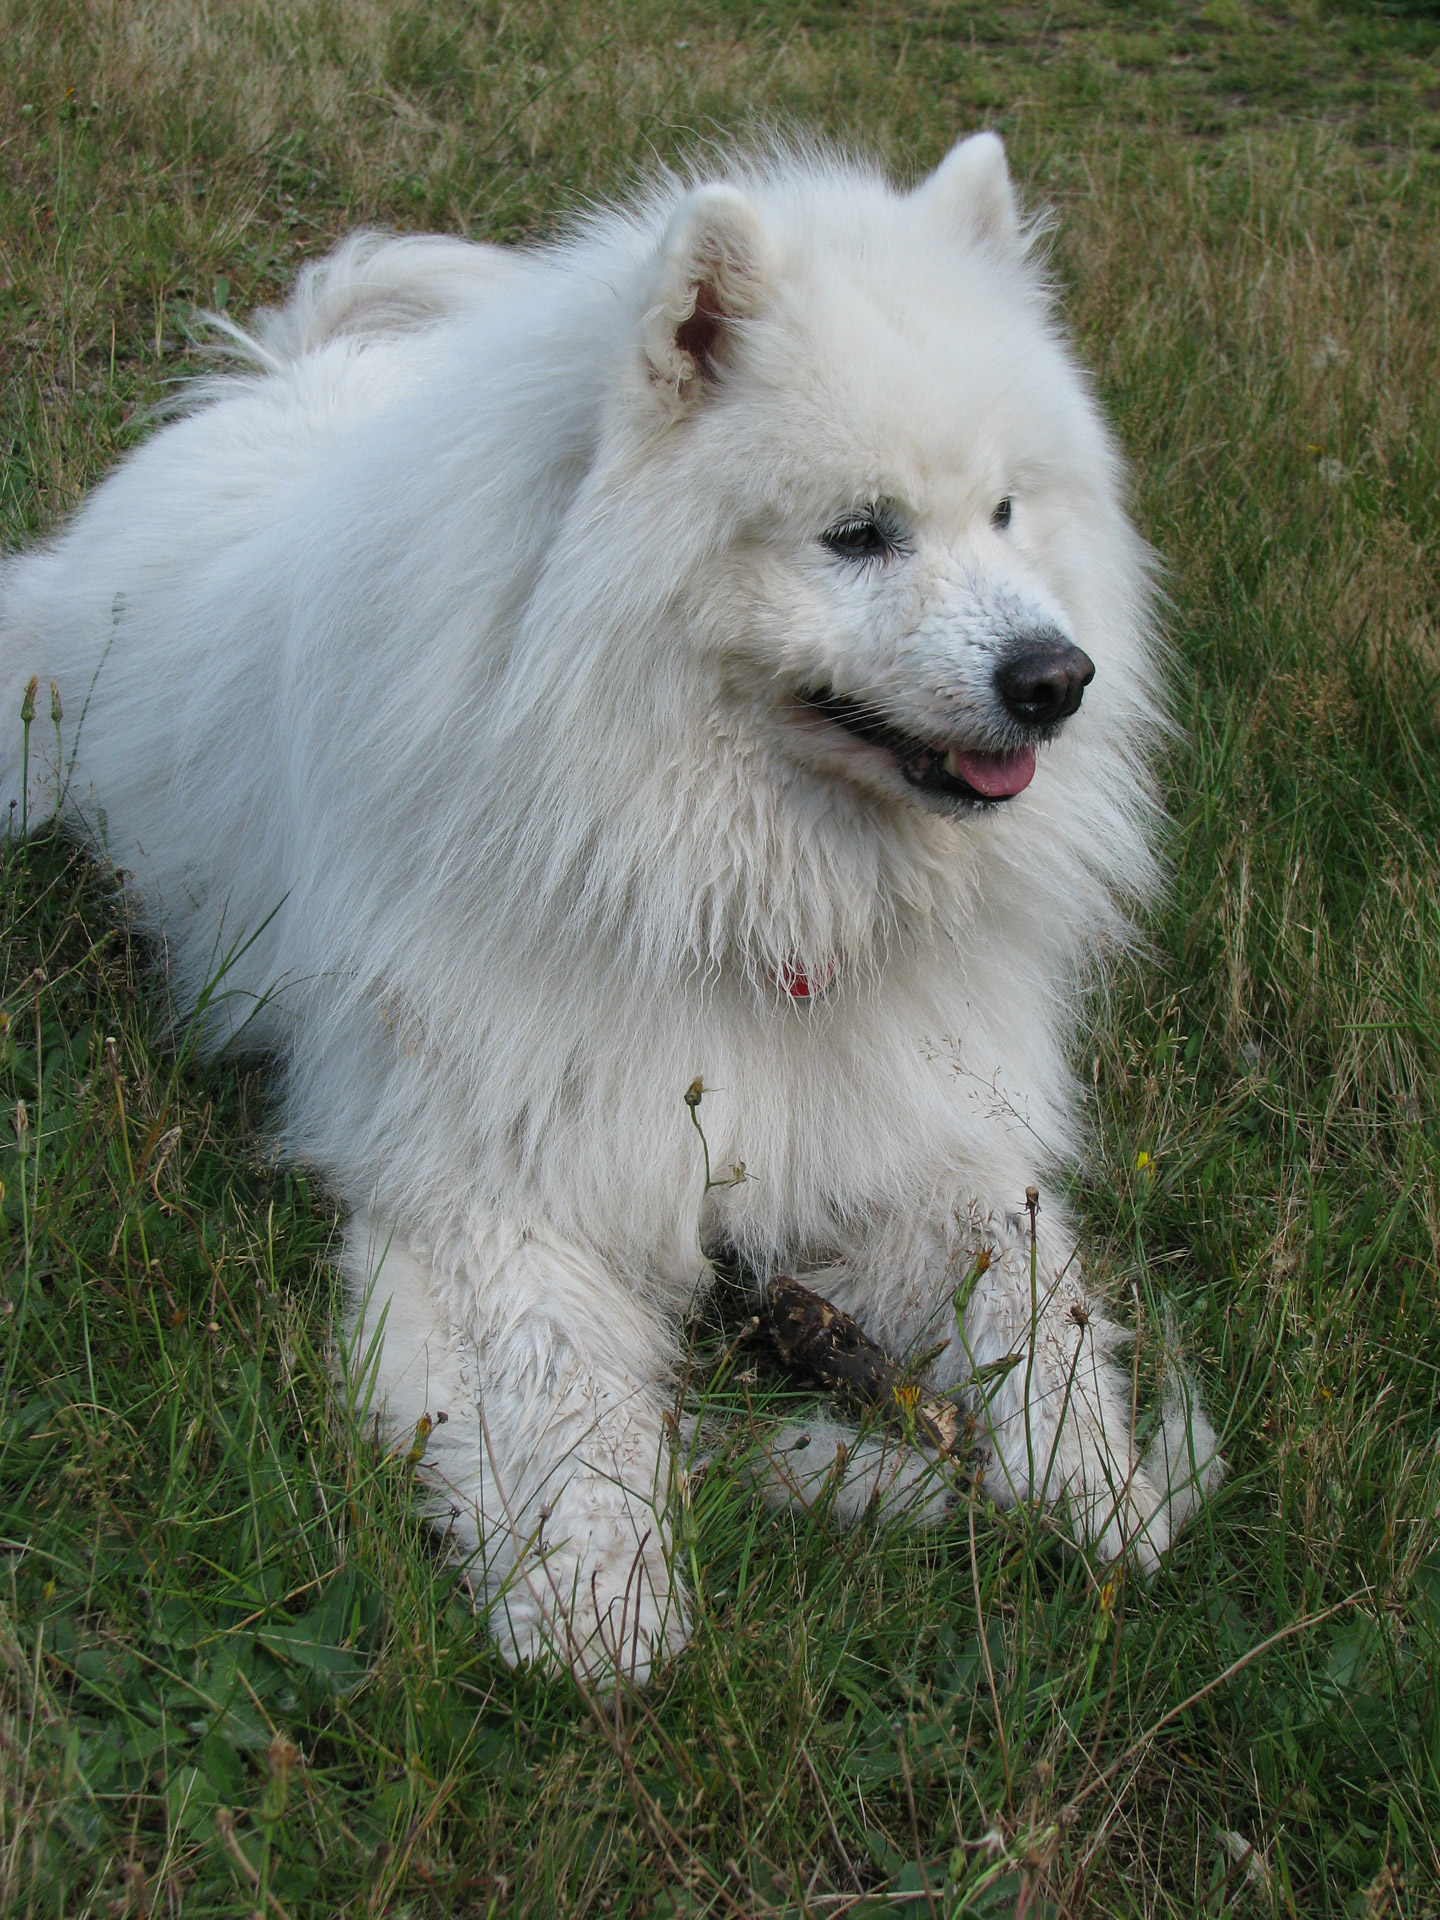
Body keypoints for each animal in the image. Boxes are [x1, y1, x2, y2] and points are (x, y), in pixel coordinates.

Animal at [2, 135, 1221, 1674]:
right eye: (859, 535)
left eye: (1008, 511)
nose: (1057, 679)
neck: (734, 885)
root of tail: (284, 379)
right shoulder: (492, 1183)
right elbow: (560, 1395)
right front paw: (599, 1603)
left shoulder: (909, 1132)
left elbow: (1034, 1293)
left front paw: (1094, 1482)